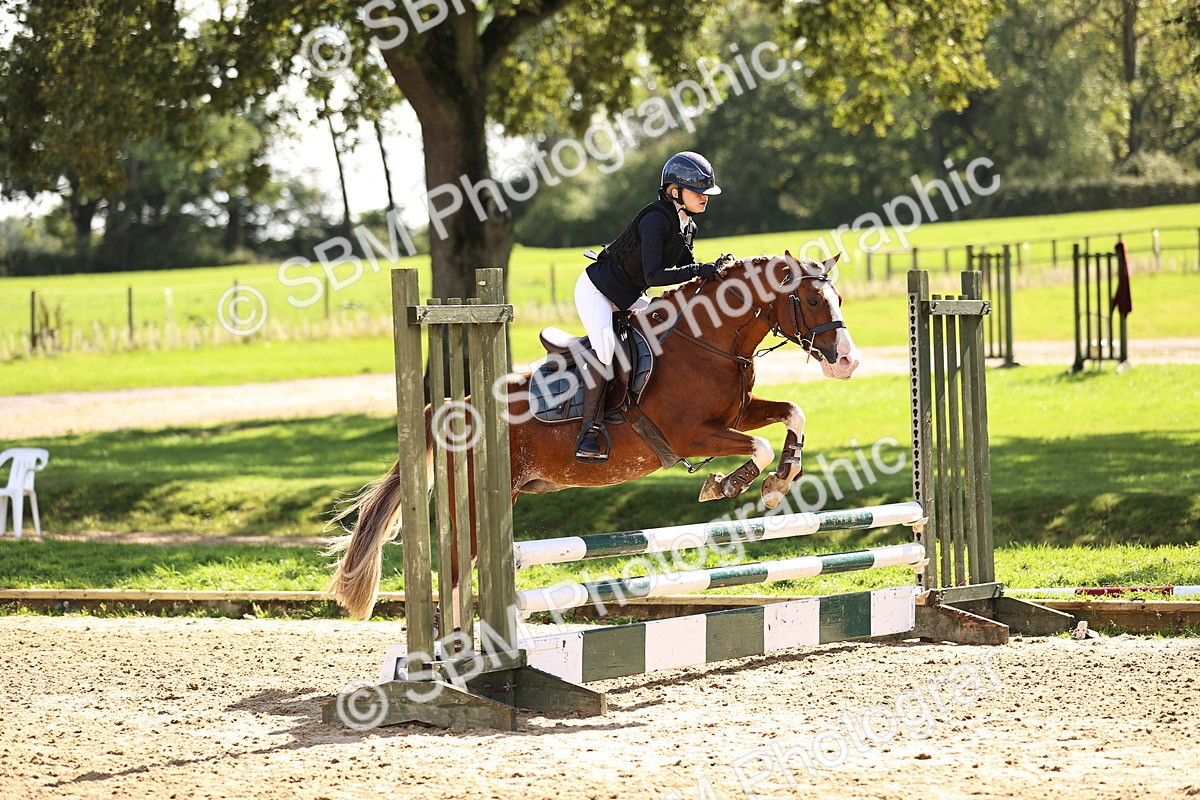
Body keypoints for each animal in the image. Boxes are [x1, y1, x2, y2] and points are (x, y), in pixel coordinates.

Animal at [327, 252, 860, 619]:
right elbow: (760, 445)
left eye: (838, 299)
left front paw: (780, 480)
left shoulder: (739, 414)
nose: (847, 364)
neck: (704, 341)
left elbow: (792, 415)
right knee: (456, 576)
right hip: (474, 508)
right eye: (813, 299)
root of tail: (447, 411)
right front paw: (732, 484)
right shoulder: (691, 435)